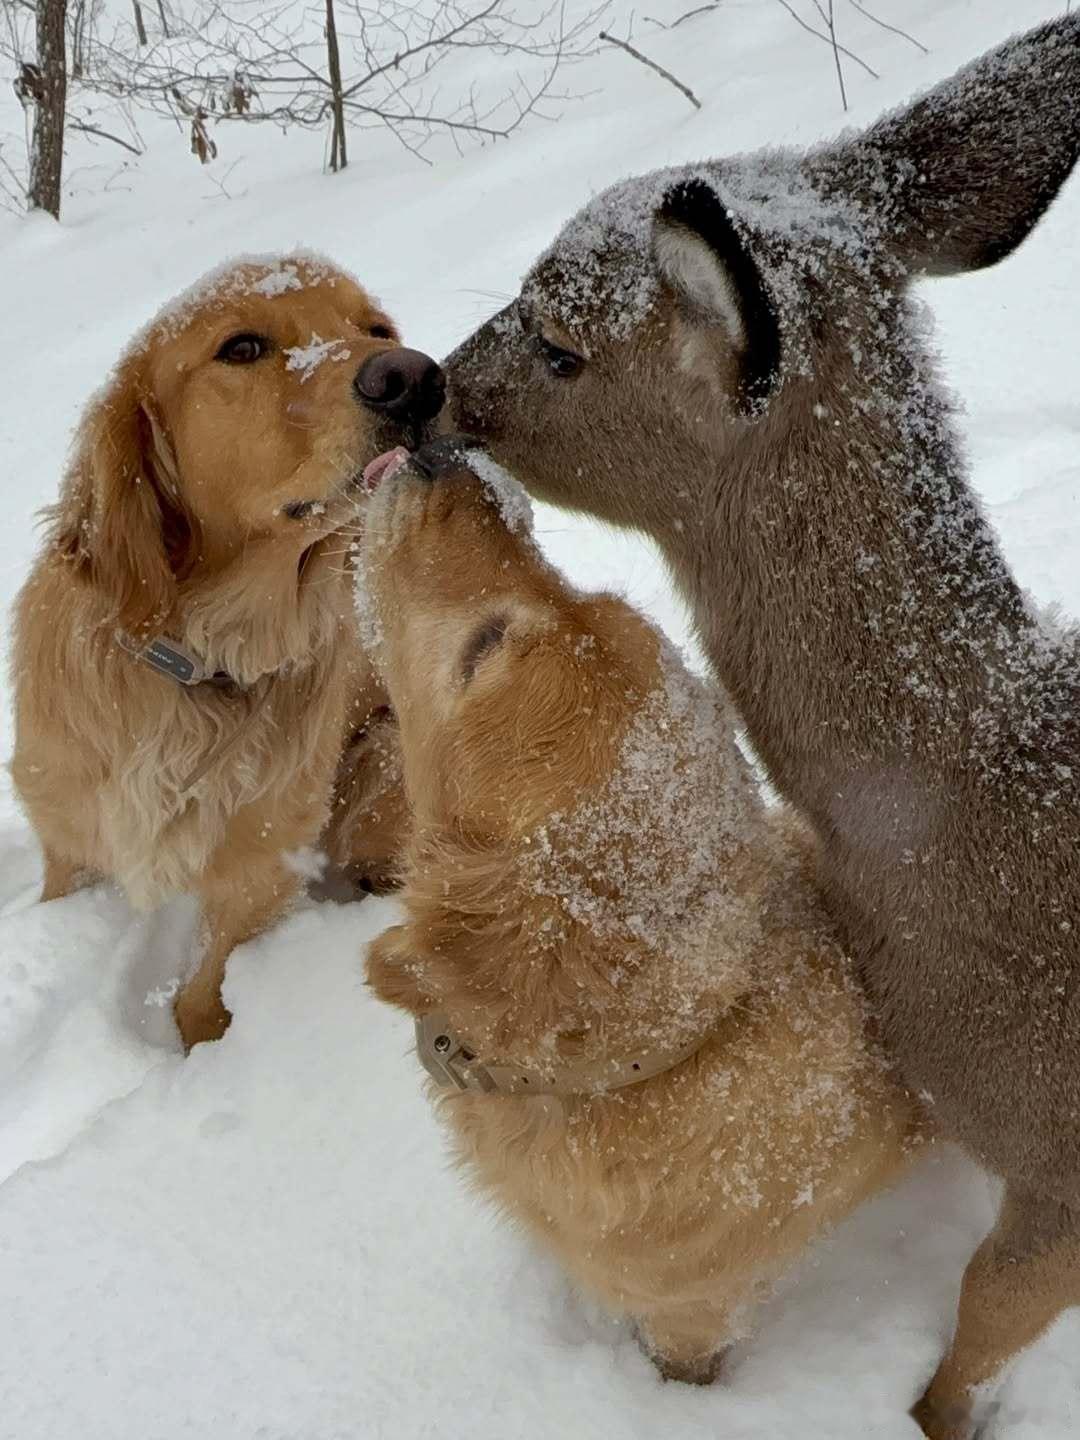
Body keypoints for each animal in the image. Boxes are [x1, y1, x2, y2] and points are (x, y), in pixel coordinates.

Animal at [11, 252, 443, 1048]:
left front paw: (203, 1045)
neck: (206, 660)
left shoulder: (259, 861)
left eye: (376, 328)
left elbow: (204, 984)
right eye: (241, 347)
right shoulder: (70, 834)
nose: (418, 379)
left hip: (379, 770)